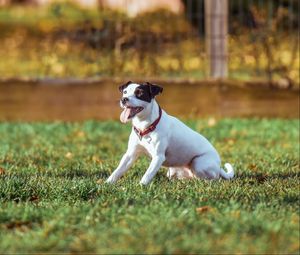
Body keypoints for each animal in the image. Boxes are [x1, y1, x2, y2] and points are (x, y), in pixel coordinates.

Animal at [105, 81, 234, 185]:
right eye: (125, 92)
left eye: (139, 93)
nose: (124, 99)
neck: (145, 127)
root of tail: (218, 167)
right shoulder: (130, 154)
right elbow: (118, 171)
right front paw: (107, 183)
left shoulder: (158, 157)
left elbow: (147, 174)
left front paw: (140, 186)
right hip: (173, 170)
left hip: (198, 163)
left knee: (213, 178)